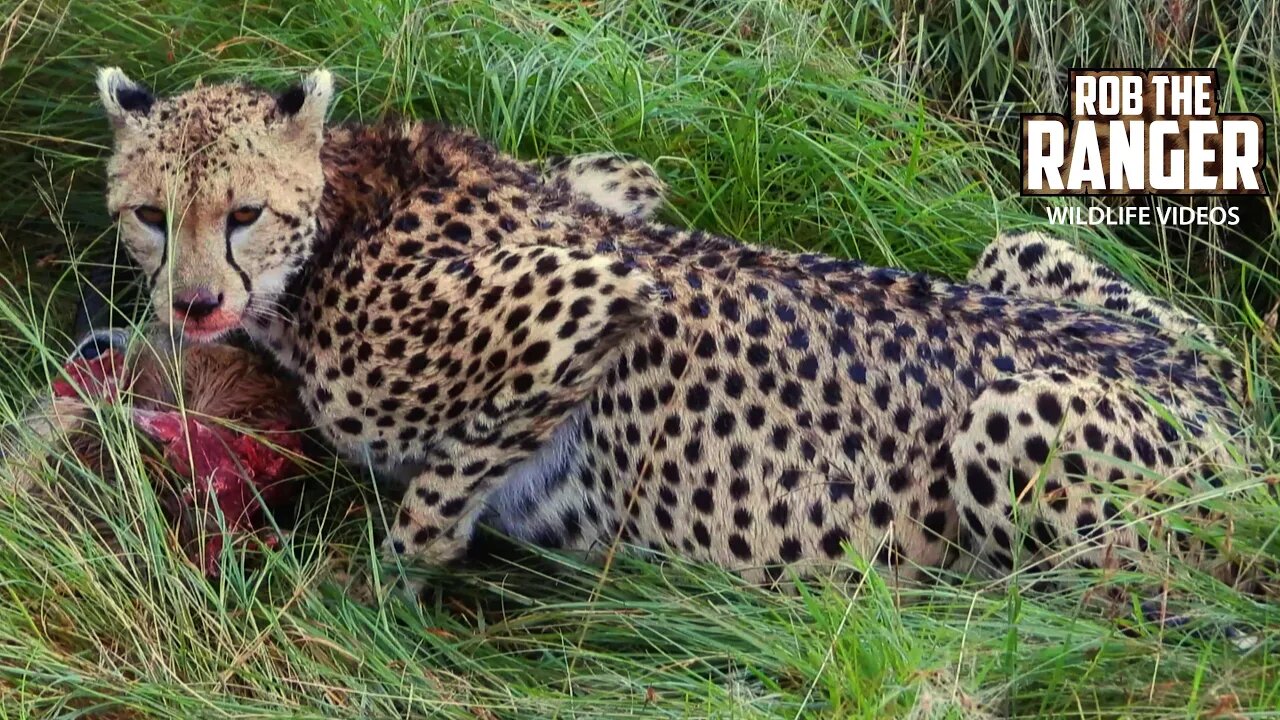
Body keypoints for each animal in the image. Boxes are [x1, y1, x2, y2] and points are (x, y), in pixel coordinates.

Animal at [92, 67, 1249, 591]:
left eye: (242, 213)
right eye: (150, 215)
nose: (195, 305)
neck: (341, 214)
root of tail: (1228, 405)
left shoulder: (591, 293)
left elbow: (433, 497)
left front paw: (389, 589)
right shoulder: (615, 189)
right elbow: (629, 179)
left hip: (1018, 415)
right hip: (1027, 259)